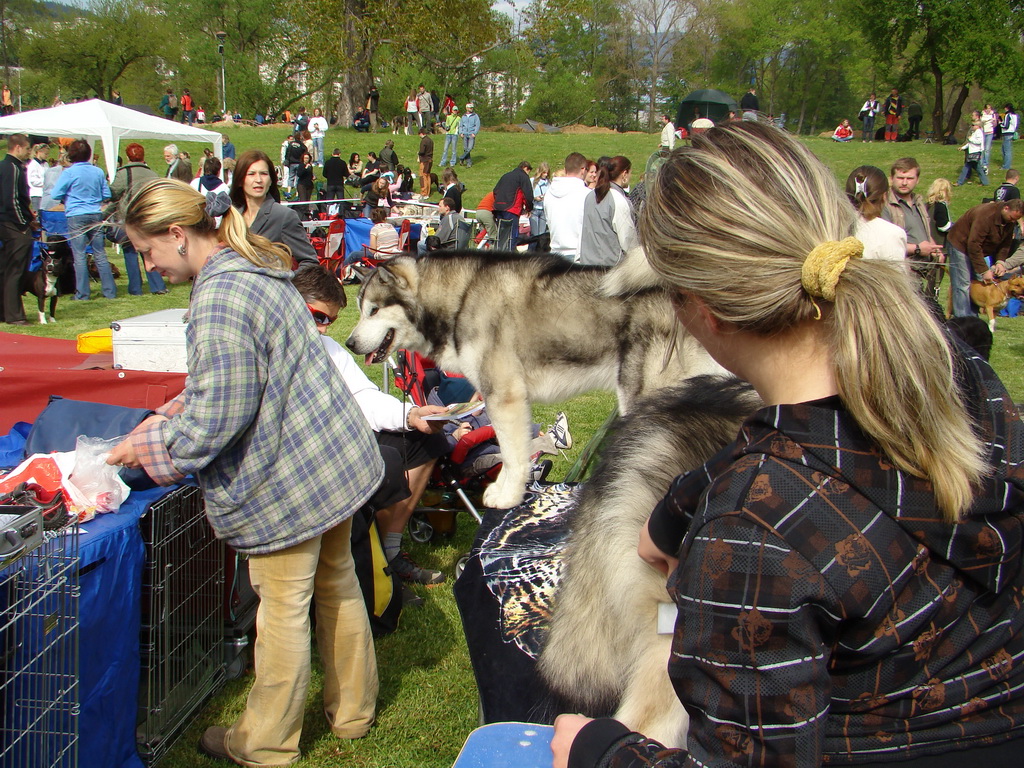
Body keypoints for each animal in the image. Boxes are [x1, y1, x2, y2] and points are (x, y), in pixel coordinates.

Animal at [348, 252, 724, 514]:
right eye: (361, 309)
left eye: (374, 310)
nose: (350, 343)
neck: (460, 299)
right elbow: (513, 452)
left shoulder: (504, 395)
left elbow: (514, 457)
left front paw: (507, 496)